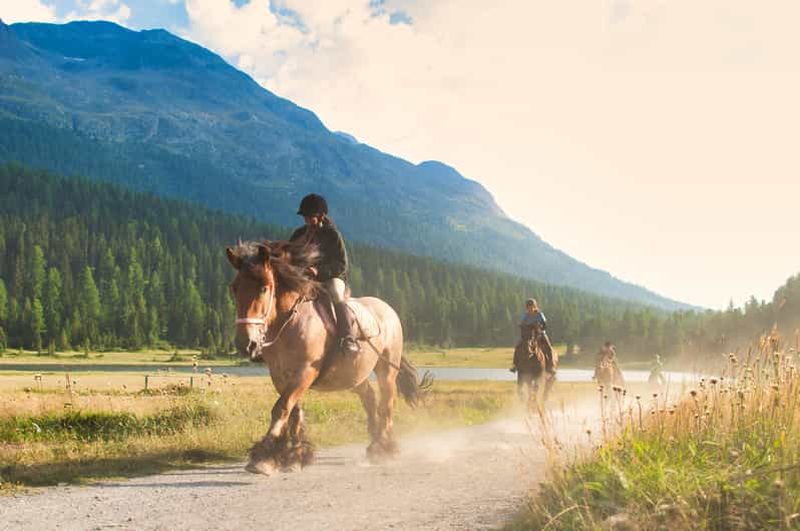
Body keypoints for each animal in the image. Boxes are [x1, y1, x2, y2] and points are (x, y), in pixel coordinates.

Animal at [226, 239, 431, 475]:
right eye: (234, 288)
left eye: (263, 288)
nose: (245, 343)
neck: (291, 324)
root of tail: (388, 310)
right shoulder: (280, 376)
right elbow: (293, 411)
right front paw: (293, 455)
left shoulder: (305, 372)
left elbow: (282, 408)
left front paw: (264, 457)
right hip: (354, 377)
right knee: (370, 398)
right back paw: (375, 443)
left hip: (386, 370)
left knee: (386, 404)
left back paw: (385, 449)